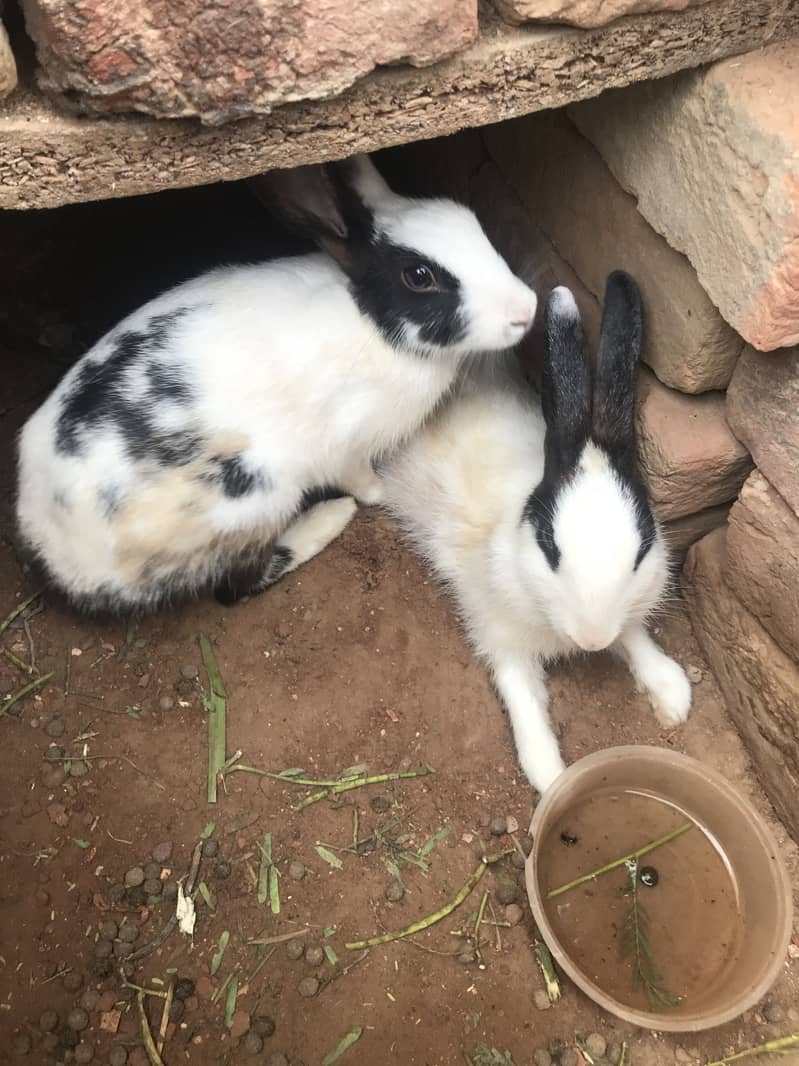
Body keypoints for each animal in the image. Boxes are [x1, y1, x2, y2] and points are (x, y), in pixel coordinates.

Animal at [15, 154, 537, 614]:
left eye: (469, 219)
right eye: (419, 276)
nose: (527, 309)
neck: (373, 322)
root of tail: (56, 552)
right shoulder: (346, 445)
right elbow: (362, 480)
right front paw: (377, 495)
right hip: (256, 498)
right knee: (237, 586)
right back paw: (328, 520)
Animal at [379, 272, 692, 794]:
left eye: (641, 550)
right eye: (550, 548)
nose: (592, 638)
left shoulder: (630, 608)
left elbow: (634, 635)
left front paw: (672, 692)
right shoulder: (497, 631)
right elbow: (521, 694)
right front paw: (550, 774)